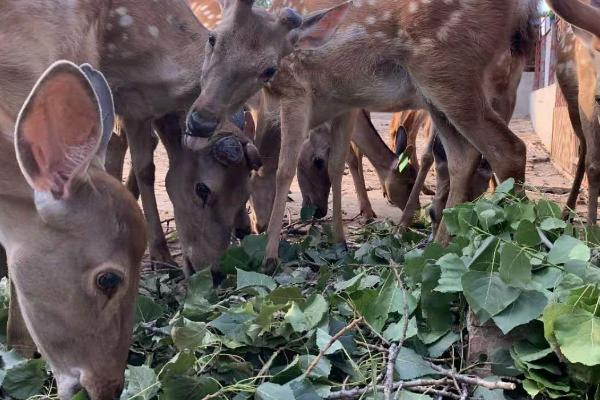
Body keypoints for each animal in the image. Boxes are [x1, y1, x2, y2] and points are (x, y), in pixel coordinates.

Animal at [190, 0, 536, 270]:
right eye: (212, 39)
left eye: (269, 69)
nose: (200, 120)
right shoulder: (343, 102)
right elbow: (335, 162)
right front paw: (339, 241)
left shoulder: (296, 91)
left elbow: (282, 169)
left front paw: (269, 255)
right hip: (435, 93)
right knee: (462, 156)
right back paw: (437, 249)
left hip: (449, 70)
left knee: (508, 148)